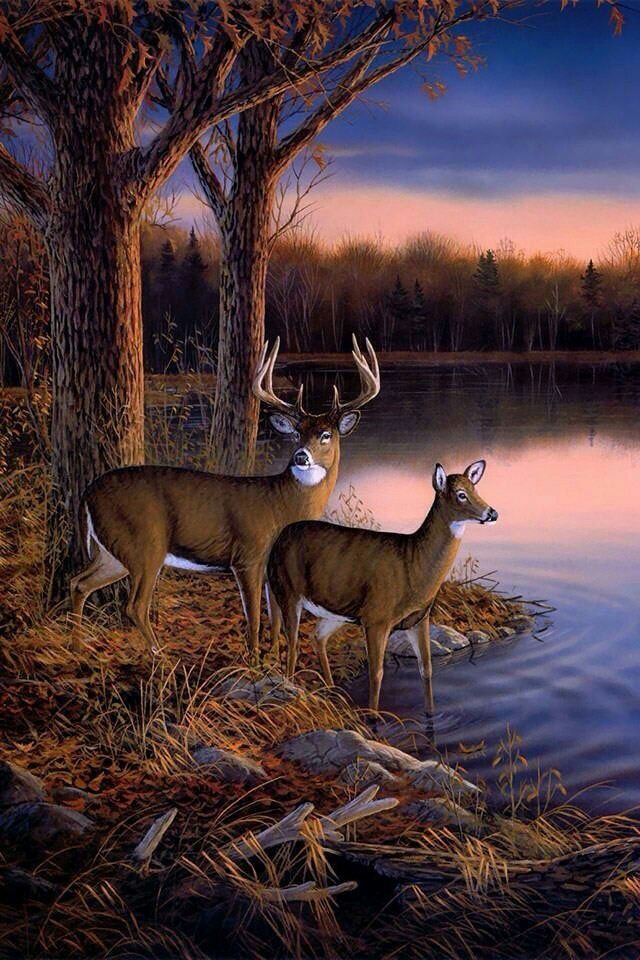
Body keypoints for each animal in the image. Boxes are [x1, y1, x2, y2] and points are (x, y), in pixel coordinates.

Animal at [69, 336, 380, 660]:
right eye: (296, 433)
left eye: (326, 435)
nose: (300, 456)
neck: (283, 506)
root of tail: (87, 493)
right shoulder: (247, 556)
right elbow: (254, 616)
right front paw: (254, 659)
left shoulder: (271, 568)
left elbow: (275, 618)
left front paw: (273, 656)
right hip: (145, 543)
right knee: (134, 605)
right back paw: (160, 656)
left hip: (112, 550)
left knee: (79, 583)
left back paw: (77, 646)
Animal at [266, 460, 498, 711]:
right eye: (461, 494)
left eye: (476, 489)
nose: (492, 513)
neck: (413, 565)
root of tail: (276, 542)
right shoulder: (376, 618)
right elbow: (376, 674)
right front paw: (372, 716)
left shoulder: (419, 619)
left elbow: (426, 670)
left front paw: (430, 714)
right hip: (287, 591)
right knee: (292, 643)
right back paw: (293, 691)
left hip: (336, 612)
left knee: (316, 637)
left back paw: (333, 693)